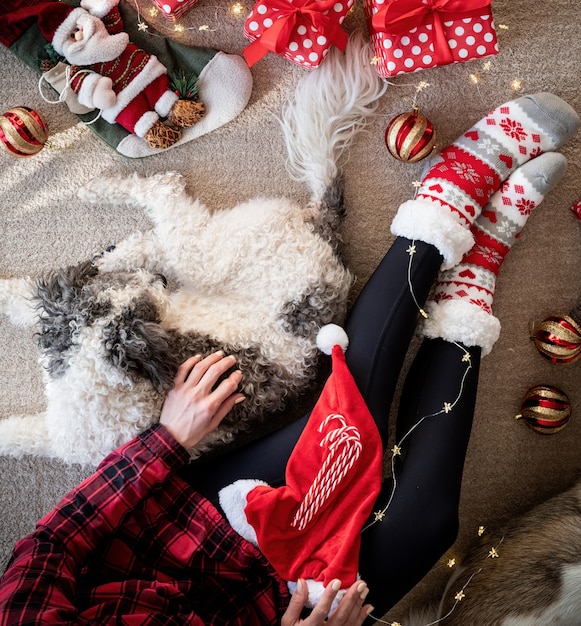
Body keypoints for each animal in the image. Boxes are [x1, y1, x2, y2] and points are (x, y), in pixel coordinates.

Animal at [1, 34, 390, 464]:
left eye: (148, 312)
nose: (160, 281)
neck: (94, 368)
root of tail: (324, 228)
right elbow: (17, 298)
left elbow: (17, 431)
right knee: (150, 238)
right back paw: (107, 236)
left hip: (208, 252)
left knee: (163, 196)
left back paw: (99, 189)